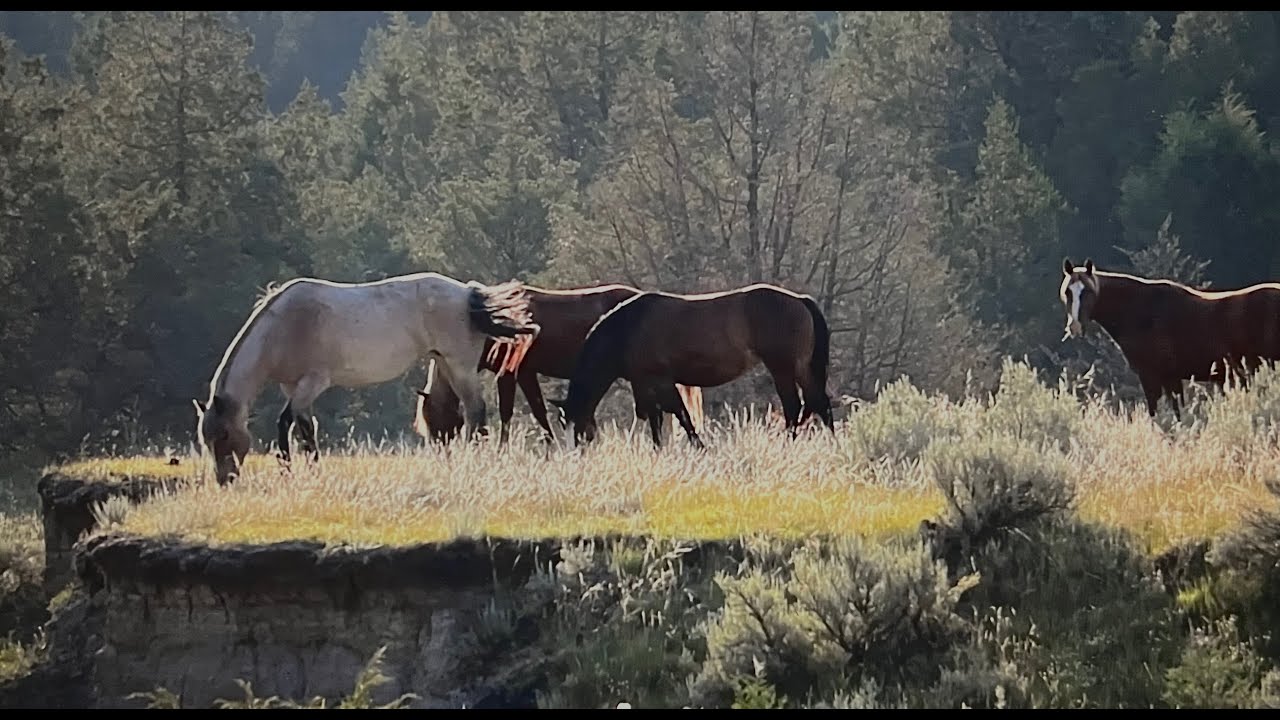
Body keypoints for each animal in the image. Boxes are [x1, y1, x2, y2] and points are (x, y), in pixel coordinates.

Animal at [194, 272, 540, 485]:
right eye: (206, 439)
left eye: (224, 435)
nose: (225, 480)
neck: (286, 326)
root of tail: (468, 293)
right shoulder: (293, 387)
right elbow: (300, 428)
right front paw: (296, 470)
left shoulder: (312, 383)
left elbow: (292, 424)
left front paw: (301, 471)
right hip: (446, 365)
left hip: (460, 367)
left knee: (476, 412)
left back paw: (472, 461)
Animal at [412, 283, 705, 444]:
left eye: (434, 420)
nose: (441, 450)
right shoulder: (526, 373)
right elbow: (539, 411)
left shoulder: (511, 373)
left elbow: (510, 412)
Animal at [553, 283, 836, 448]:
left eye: (578, 426)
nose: (573, 455)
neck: (628, 329)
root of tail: (799, 300)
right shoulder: (646, 383)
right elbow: (657, 418)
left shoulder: (661, 381)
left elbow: (680, 414)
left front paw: (699, 446)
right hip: (798, 368)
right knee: (815, 402)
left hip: (784, 368)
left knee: (797, 405)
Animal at [1060, 257, 1280, 419]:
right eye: (1067, 292)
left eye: (1088, 291)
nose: (1075, 326)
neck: (1140, 311)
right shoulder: (1171, 379)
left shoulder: (1154, 377)